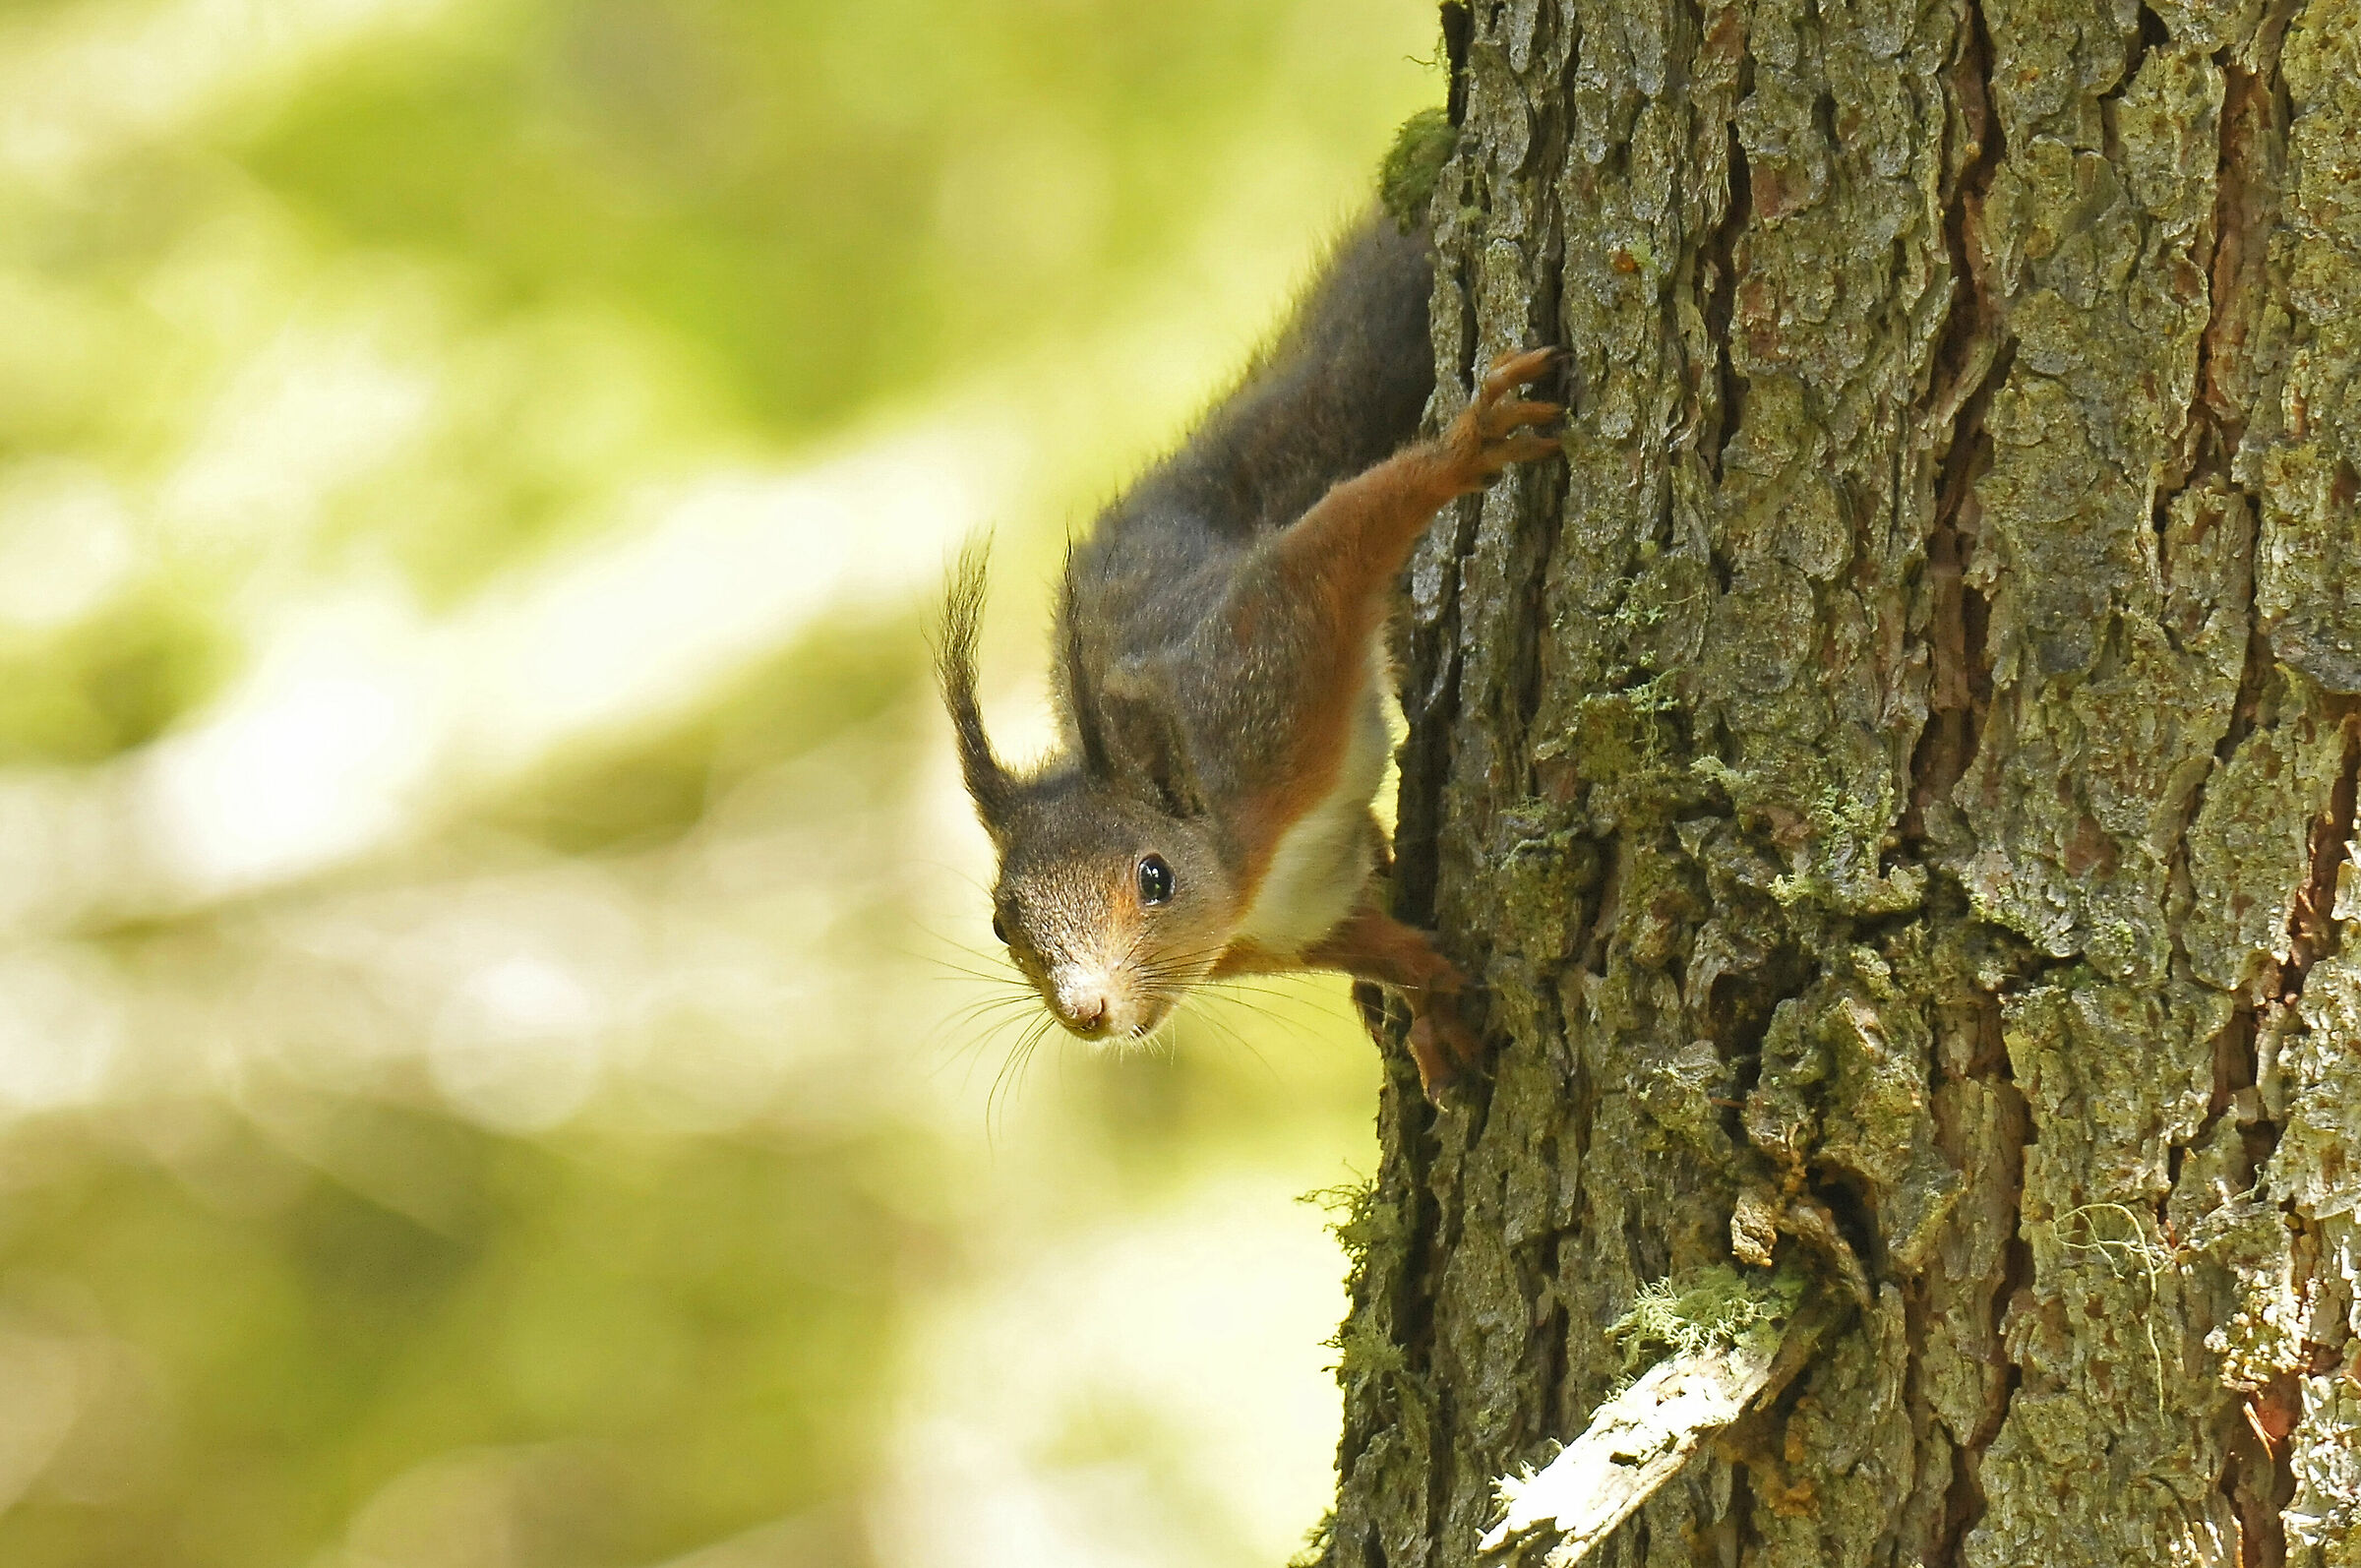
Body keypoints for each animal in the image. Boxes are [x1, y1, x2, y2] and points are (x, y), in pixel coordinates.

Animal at [936, 213, 1561, 1103]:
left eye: (1154, 877)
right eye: (1000, 921)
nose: (1086, 1009)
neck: (1250, 872)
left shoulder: (1265, 672)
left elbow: (1339, 538)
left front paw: (1465, 448)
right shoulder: (1297, 922)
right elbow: (1377, 940)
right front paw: (1428, 1000)